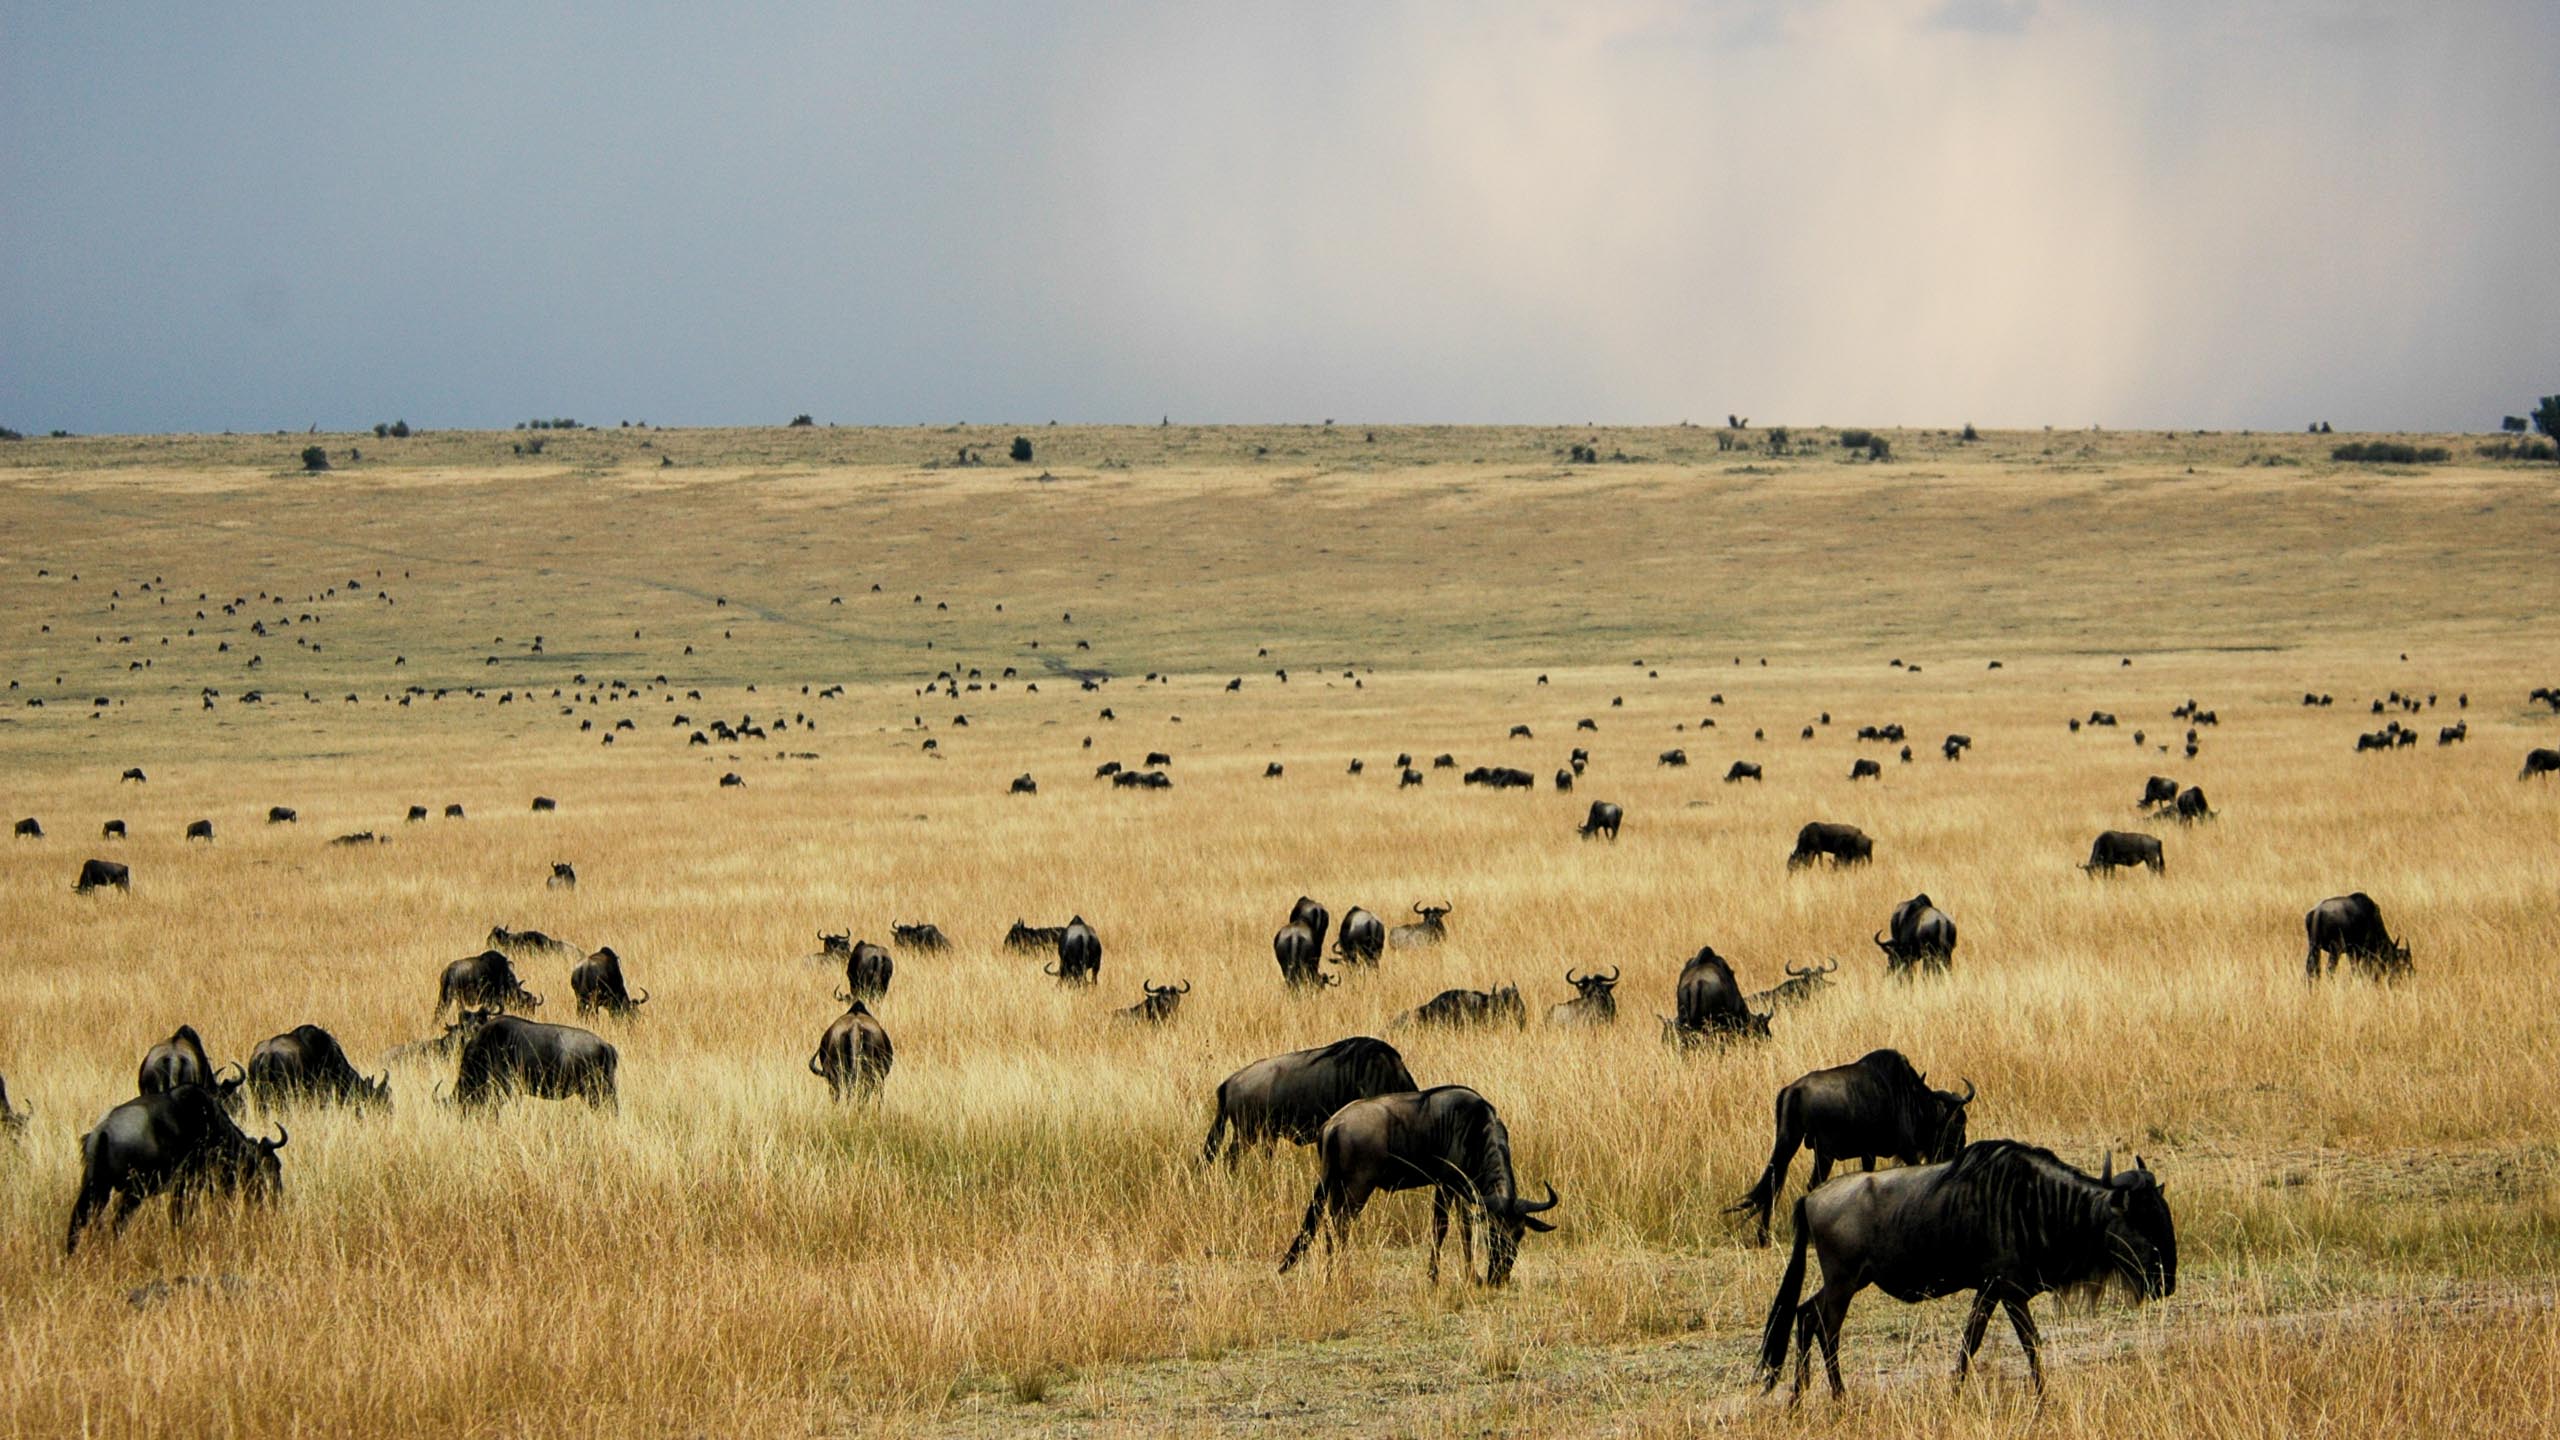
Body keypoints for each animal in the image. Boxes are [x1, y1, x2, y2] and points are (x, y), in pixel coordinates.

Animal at [66, 1081, 284, 1250]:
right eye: (273, 1167)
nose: (276, 1196)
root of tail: (103, 1131)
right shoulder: (188, 1184)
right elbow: (180, 1215)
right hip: (132, 1192)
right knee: (117, 1222)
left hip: (97, 1189)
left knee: (78, 1220)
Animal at [1280, 1081, 1556, 1281]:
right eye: (1492, 1233)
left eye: (1519, 1233)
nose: (1499, 1277)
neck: (1476, 1130)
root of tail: (1333, 1125)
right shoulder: (1446, 1185)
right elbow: (1441, 1227)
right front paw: (1434, 1276)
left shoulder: (1463, 1190)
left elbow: (1465, 1228)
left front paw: (1471, 1276)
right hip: (1357, 1187)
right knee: (1341, 1223)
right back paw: (1344, 1274)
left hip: (1336, 1185)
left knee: (1329, 1223)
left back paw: (1330, 1275)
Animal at [1720, 1050, 1976, 1240]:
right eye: (1959, 1121)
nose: (1960, 1147)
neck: (1913, 1100)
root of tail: (1795, 1090)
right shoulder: (1907, 1150)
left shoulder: (1868, 1153)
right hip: (1824, 1153)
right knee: (1811, 1185)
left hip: (1788, 1143)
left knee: (1773, 1183)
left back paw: (1763, 1237)